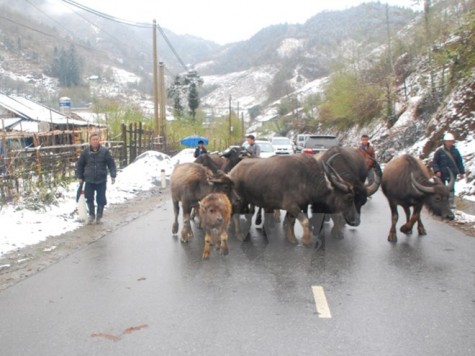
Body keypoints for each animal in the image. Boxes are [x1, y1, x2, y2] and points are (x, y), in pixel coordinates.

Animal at [228, 153, 360, 245]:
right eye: (349, 198)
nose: (356, 221)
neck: (306, 178)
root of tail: (232, 172)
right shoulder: (291, 206)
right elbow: (305, 221)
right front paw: (307, 240)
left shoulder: (298, 206)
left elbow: (292, 221)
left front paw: (291, 238)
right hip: (240, 200)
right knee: (236, 214)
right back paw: (239, 234)